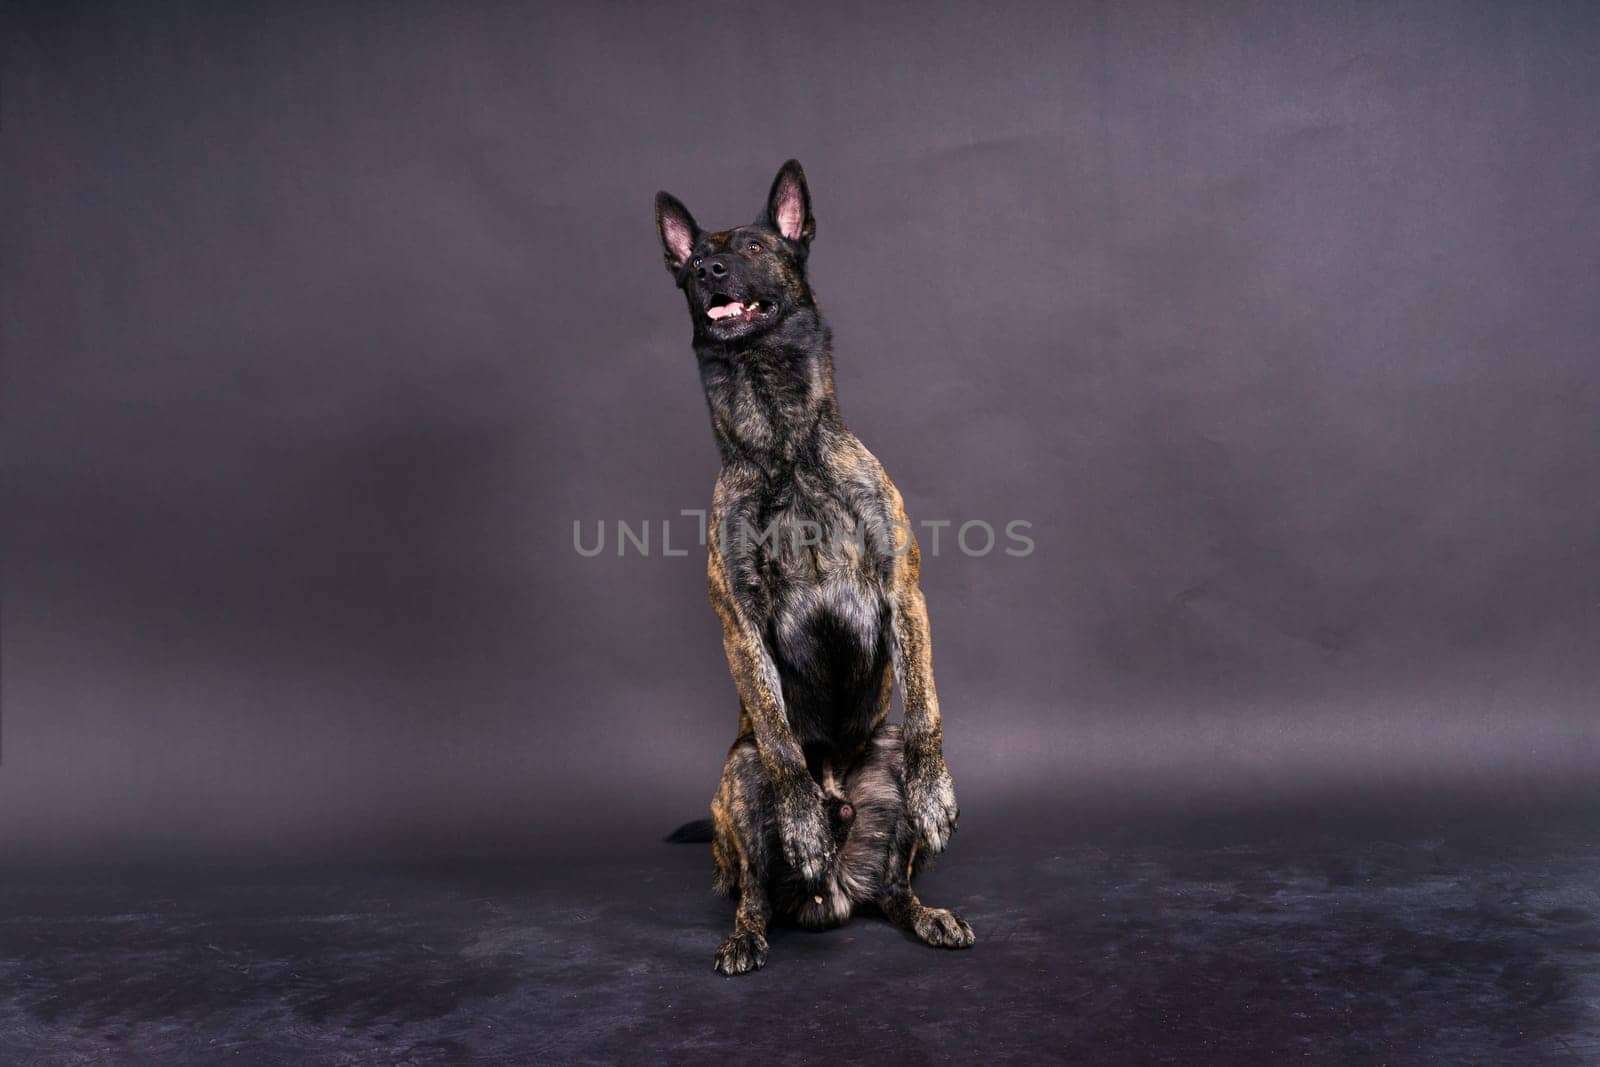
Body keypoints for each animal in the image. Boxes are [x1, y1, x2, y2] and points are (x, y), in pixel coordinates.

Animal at [652, 160, 972, 979]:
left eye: (756, 246)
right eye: (694, 260)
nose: (709, 269)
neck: (784, 445)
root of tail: (833, 897)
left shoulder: (903, 591)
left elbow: (927, 708)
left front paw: (936, 793)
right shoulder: (738, 622)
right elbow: (776, 731)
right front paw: (800, 822)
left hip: (883, 767)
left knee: (893, 888)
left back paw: (926, 913)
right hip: (737, 779)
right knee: (753, 889)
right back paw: (750, 927)